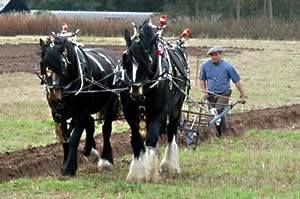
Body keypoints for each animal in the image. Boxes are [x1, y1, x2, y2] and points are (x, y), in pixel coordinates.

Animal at [39, 36, 120, 176]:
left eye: (63, 65)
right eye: (43, 65)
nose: (54, 97)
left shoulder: (82, 111)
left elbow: (74, 139)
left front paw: (69, 168)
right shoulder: (58, 113)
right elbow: (64, 141)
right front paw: (66, 164)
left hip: (110, 104)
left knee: (106, 129)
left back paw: (105, 160)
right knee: (91, 123)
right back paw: (90, 151)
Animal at [120, 19, 190, 181]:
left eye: (147, 61)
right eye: (126, 60)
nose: (135, 90)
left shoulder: (160, 112)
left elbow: (151, 139)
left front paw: (148, 171)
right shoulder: (130, 113)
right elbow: (137, 140)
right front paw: (137, 172)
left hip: (176, 108)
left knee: (171, 132)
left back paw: (169, 165)